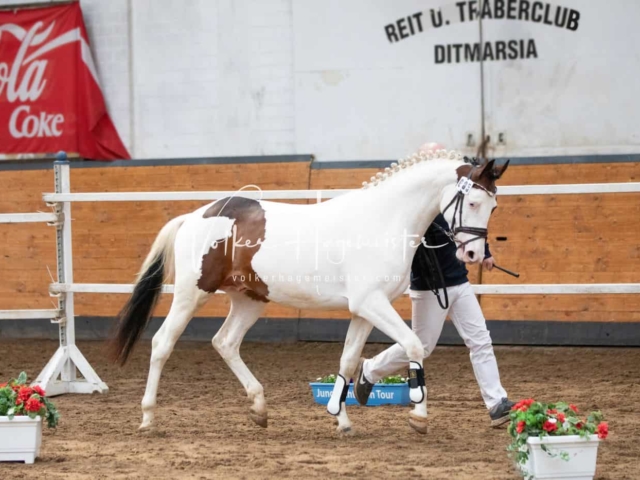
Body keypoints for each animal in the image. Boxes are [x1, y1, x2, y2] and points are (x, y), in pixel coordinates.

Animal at [110, 148, 510, 434]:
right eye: (473, 202)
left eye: (494, 206)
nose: (474, 255)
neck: (383, 220)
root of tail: (195, 217)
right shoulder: (372, 304)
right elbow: (413, 346)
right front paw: (419, 417)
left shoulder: (364, 310)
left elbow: (348, 362)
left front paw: (341, 420)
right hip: (192, 294)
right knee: (163, 343)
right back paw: (148, 418)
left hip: (249, 300)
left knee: (225, 342)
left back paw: (259, 409)